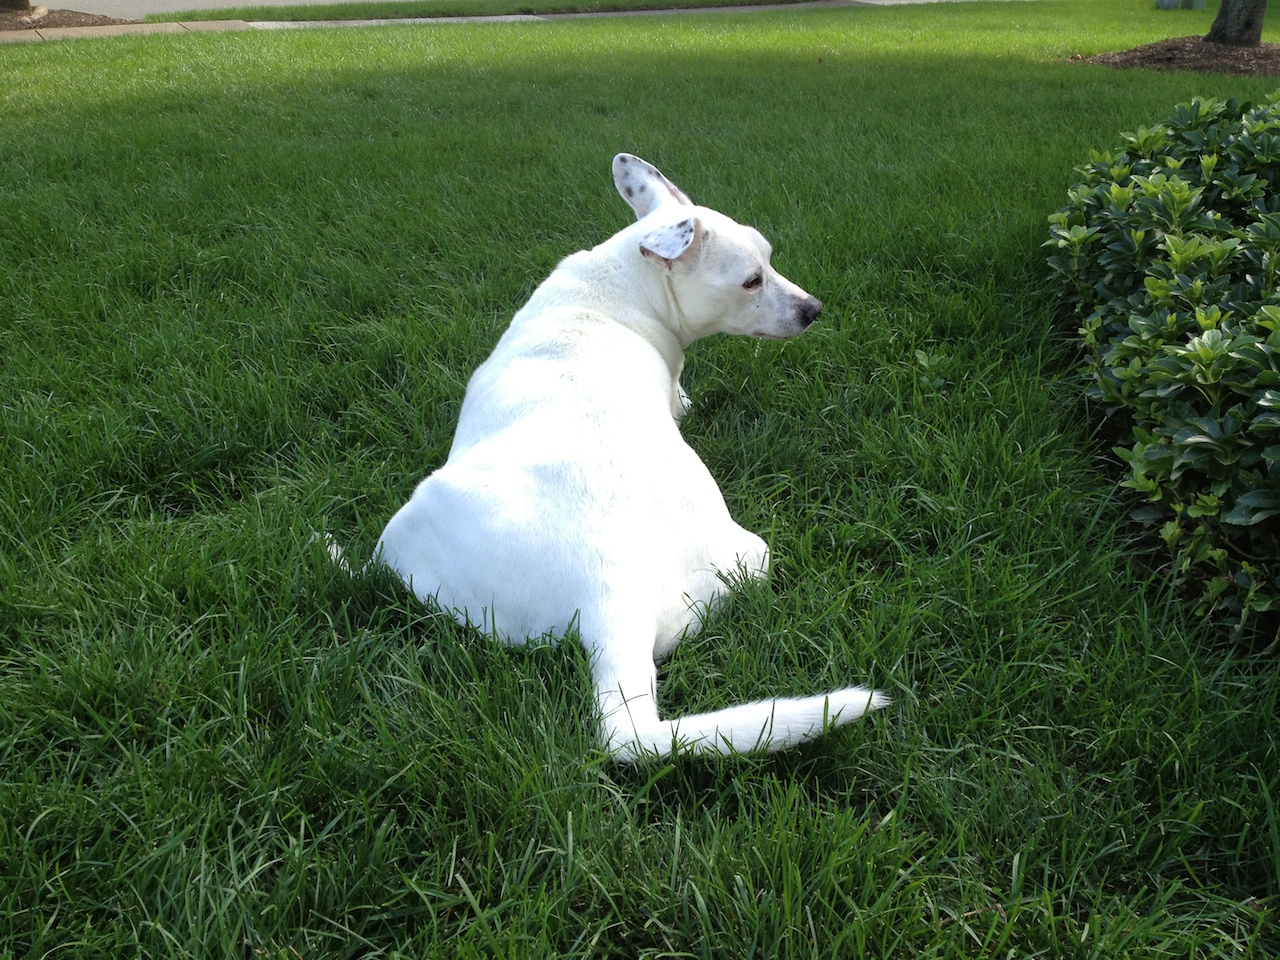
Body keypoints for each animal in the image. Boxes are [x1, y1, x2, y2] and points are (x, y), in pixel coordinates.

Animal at [374, 154, 888, 760]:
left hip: (408, 524)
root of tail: (611, 601)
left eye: (769, 260)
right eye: (752, 279)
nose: (814, 309)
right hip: (751, 556)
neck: (621, 285)